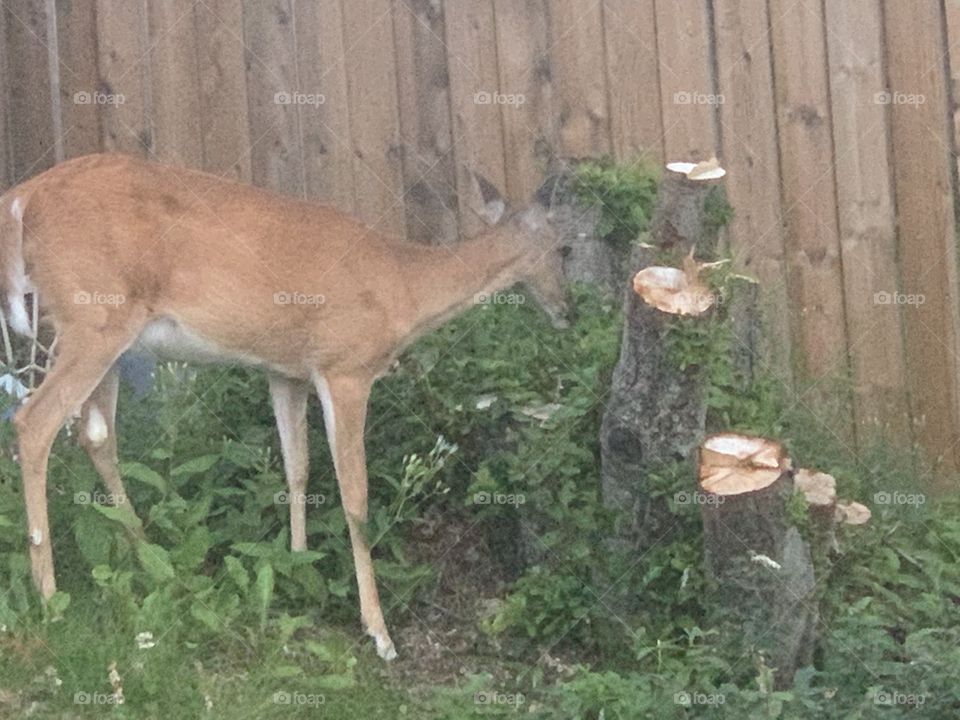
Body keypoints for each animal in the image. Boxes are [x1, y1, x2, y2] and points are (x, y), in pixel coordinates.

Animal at [0, 153, 572, 660]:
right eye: (566, 248)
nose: (569, 309)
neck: (403, 286)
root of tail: (23, 197)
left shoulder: (285, 372)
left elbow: (298, 467)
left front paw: (297, 566)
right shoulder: (345, 367)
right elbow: (356, 497)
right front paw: (380, 632)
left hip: (109, 338)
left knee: (95, 434)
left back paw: (149, 559)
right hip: (93, 317)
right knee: (34, 423)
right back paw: (50, 596)